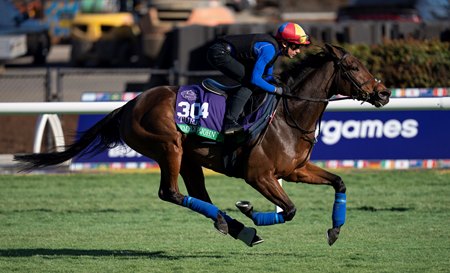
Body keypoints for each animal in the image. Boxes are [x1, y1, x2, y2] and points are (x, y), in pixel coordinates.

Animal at [14, 43, 390, 246]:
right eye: (353, 66)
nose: (384, 92)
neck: (288, 114)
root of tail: (131, 103)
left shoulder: (295, 169)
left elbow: (339, 182)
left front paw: (335, 229)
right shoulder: (259, 175)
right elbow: (290, 210)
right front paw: (251, 209)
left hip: (190, 158)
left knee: (197, 194)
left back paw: (237, 228)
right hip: (169, 147)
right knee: (171, 193)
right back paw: (238, 224)